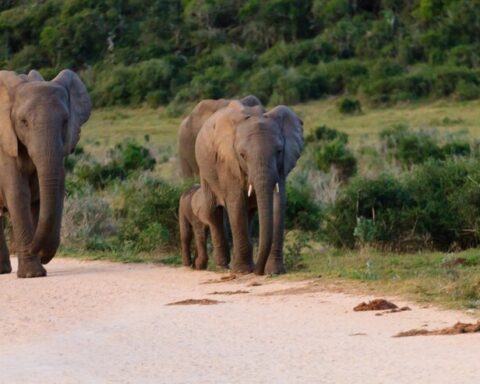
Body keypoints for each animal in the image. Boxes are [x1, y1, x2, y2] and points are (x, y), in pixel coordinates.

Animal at [0, 69, 92, 278]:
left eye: (65, 121)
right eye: (23, 122)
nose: (36, 250)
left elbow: (52, 193)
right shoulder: (5, 146)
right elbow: (18, 195)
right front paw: (32, 275)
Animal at [192, 100, 302, 274]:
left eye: (279, 151)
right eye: (242, 155)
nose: (259, 271)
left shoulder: (282, 165)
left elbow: (279, 203)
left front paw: (275, 271)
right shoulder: (227, 161)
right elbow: (236, 203)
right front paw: (243, 271)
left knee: (248, 213)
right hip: (205, 168)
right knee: (213, 211)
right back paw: (223, 265)